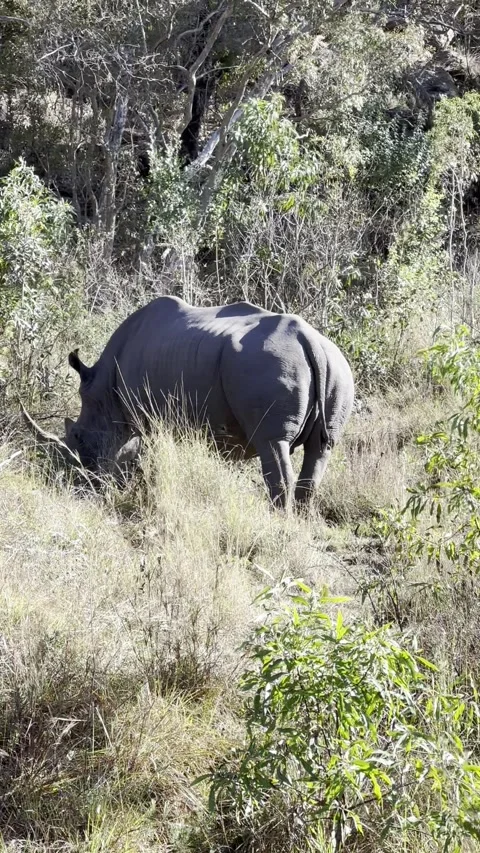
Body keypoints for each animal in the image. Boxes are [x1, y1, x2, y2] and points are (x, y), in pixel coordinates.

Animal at [25, 296, 354, 508]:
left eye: (79, 437)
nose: (81, 476)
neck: (103, 390)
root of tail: (309, 342)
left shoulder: (146, 415)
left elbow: (143, 454)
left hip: (270, 365)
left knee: (272, 443)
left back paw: (277, 520)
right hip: (340, 370)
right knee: (321, 449)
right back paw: (298, 522)